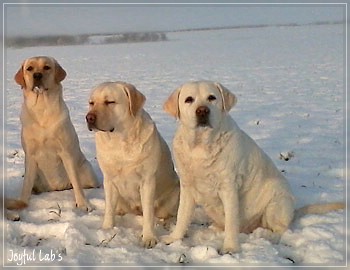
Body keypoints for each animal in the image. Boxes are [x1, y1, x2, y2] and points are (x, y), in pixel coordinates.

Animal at [161, 81, 344, 254]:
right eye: (189, 99)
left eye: (212, 97)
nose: (202, 111)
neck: (201, 146)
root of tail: (293, 211)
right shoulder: (187, 186)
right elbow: (182, 216)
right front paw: (174, 238)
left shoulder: (229, 187)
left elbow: (231, 221)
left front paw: (230, 248)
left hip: (276, 203)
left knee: (282, 229)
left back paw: (267, 235)